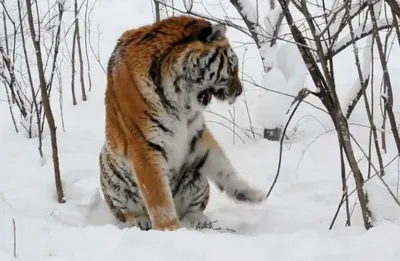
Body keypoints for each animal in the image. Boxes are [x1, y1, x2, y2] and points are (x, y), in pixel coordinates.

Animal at [97, 15, 266, 231]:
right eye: (232, 65)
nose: (239, 91)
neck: (179, 99)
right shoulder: (144, 146)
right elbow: (159, 199)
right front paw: (170, 230)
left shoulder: (196, 135)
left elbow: (223, 167)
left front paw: (251, 193)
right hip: (109, 168)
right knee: (127, 212)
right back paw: (139, 221)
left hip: (196, 178)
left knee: (192, 209)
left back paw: (199, 220)